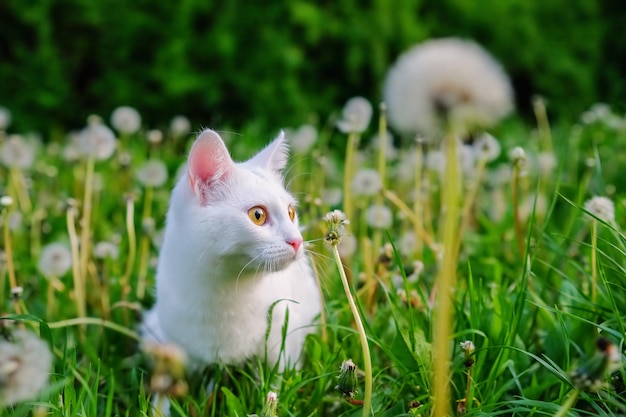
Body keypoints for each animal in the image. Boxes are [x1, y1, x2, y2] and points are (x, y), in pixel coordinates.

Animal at [142, 129, 322, 370]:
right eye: (258, 215)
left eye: (291, 212)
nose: (297, 241)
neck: (227, 290)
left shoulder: (283, 335)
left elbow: (279, 373)